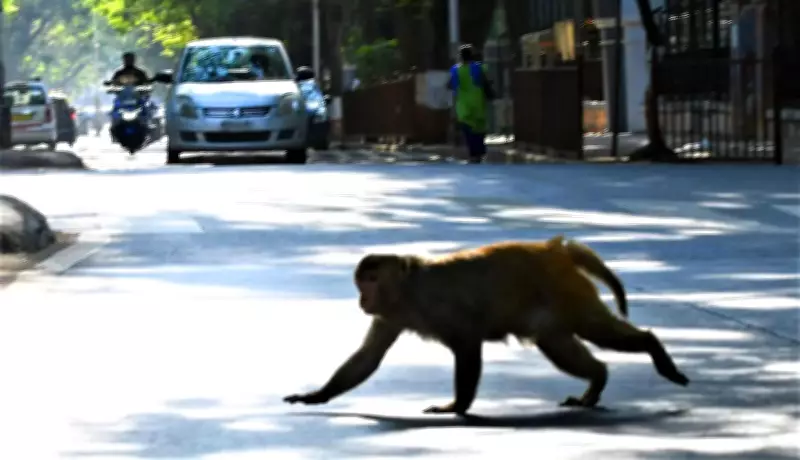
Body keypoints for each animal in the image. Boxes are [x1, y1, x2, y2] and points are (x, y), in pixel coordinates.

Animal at [283, 235, 689, 416]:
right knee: (555, 342)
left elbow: (467, 344)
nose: (361, 300)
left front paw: (456, 406)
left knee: (593, 327)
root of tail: (554, 248)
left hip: (567, 291)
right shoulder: (391, 314)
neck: (408, 289)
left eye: (369, 281)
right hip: (555, 303)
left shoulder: (437, 302)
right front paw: (316, 395)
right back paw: (597, 381)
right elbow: (368, 357)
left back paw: (653, 347)